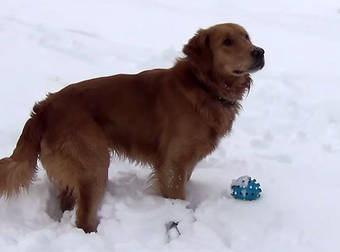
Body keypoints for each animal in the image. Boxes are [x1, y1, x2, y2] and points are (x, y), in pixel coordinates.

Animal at [0, 23, 264, 232]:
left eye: (247, 36)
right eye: (227, 41)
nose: (260, 52)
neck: (204, 86)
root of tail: (43, 110)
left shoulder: (184, 163)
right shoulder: (174, 163)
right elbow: (177, 197)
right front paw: (179, 224)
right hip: (94, 165)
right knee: (83, 219)